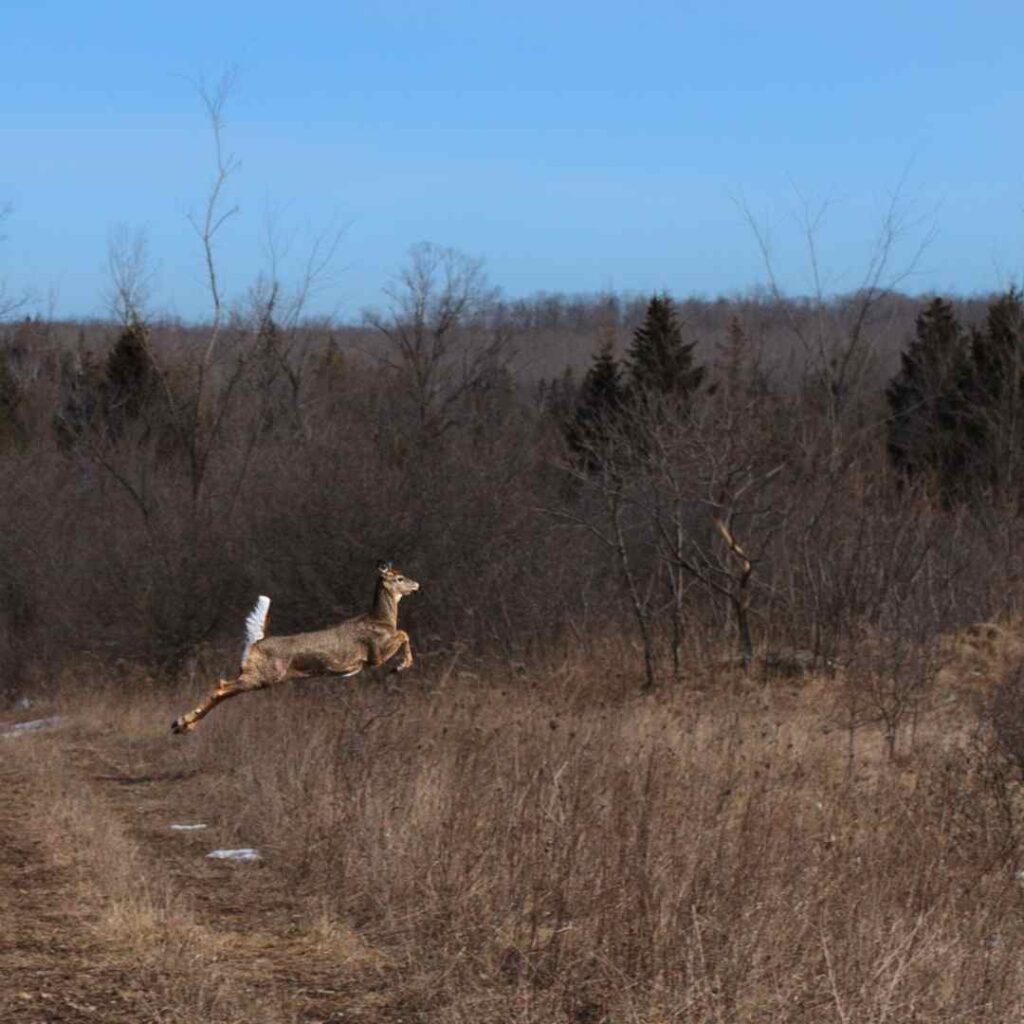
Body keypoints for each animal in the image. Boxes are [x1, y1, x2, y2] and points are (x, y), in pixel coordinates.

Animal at [171, 561, 420, 734]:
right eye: (399, 577)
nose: (417, 584)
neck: (382, 619)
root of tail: (256, 643)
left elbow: (403, 634)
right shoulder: (375, 653)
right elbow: (404, 634)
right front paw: (401, 666)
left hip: (256, 675)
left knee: (223, 690)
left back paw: (182, 725)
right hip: (263, 675)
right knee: (221, 687)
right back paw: (182, 722)